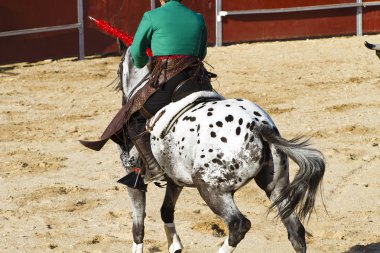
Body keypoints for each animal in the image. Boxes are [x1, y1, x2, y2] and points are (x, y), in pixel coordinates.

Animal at [114, 45, 326, 253]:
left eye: (118, 68)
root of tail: (258, 126)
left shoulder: (133, 177)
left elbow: (138, 225)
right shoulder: (175, 178)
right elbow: (166, 211)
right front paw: (175, 246)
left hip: (210, 187)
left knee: (238, 224)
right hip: (276, 184)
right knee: (295, 230)